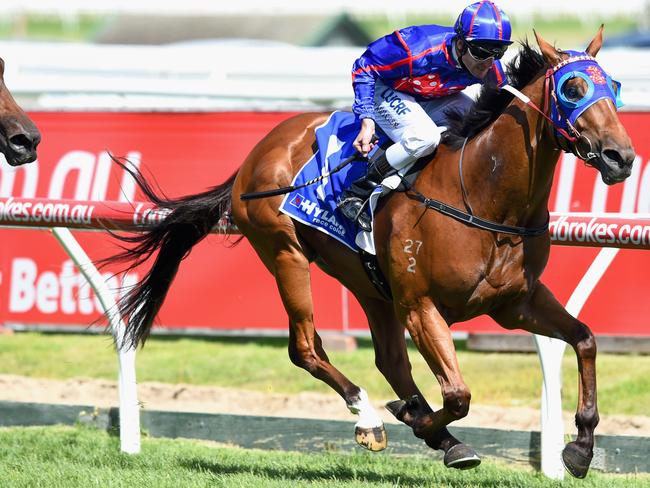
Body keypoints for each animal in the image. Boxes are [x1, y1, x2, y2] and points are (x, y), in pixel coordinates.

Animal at [107, 28, 632, 478]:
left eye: (614, 86)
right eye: (573, 87)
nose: (621, 157)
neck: (482, 193)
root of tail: (258, 152)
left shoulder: (514, 302)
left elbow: (585, 339)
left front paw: (580, 448)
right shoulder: (421, 305)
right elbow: (458, 394)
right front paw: (414, 419)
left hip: (370, 284)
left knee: (390, 361)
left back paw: (433, 432)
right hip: (285, 253)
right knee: (306, 348)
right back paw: (371, 418)